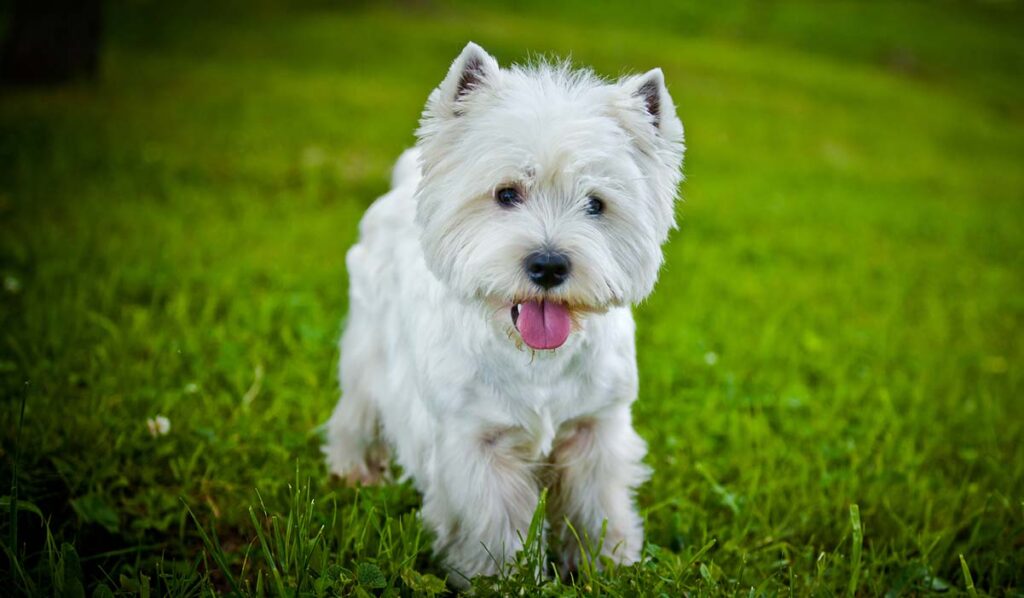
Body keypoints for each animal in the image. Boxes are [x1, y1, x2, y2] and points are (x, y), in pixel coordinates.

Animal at [323, 41, 684, 585]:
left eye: (596, 204)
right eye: (506, 193)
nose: (549, 264)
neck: (538, 360)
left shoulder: (595, 428)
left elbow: (596, 507)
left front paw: (611, 565)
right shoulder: (476, 443)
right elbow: (495, 526)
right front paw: (503, 579)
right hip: (368, 351)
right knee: (357, 413)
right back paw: (354, 472)